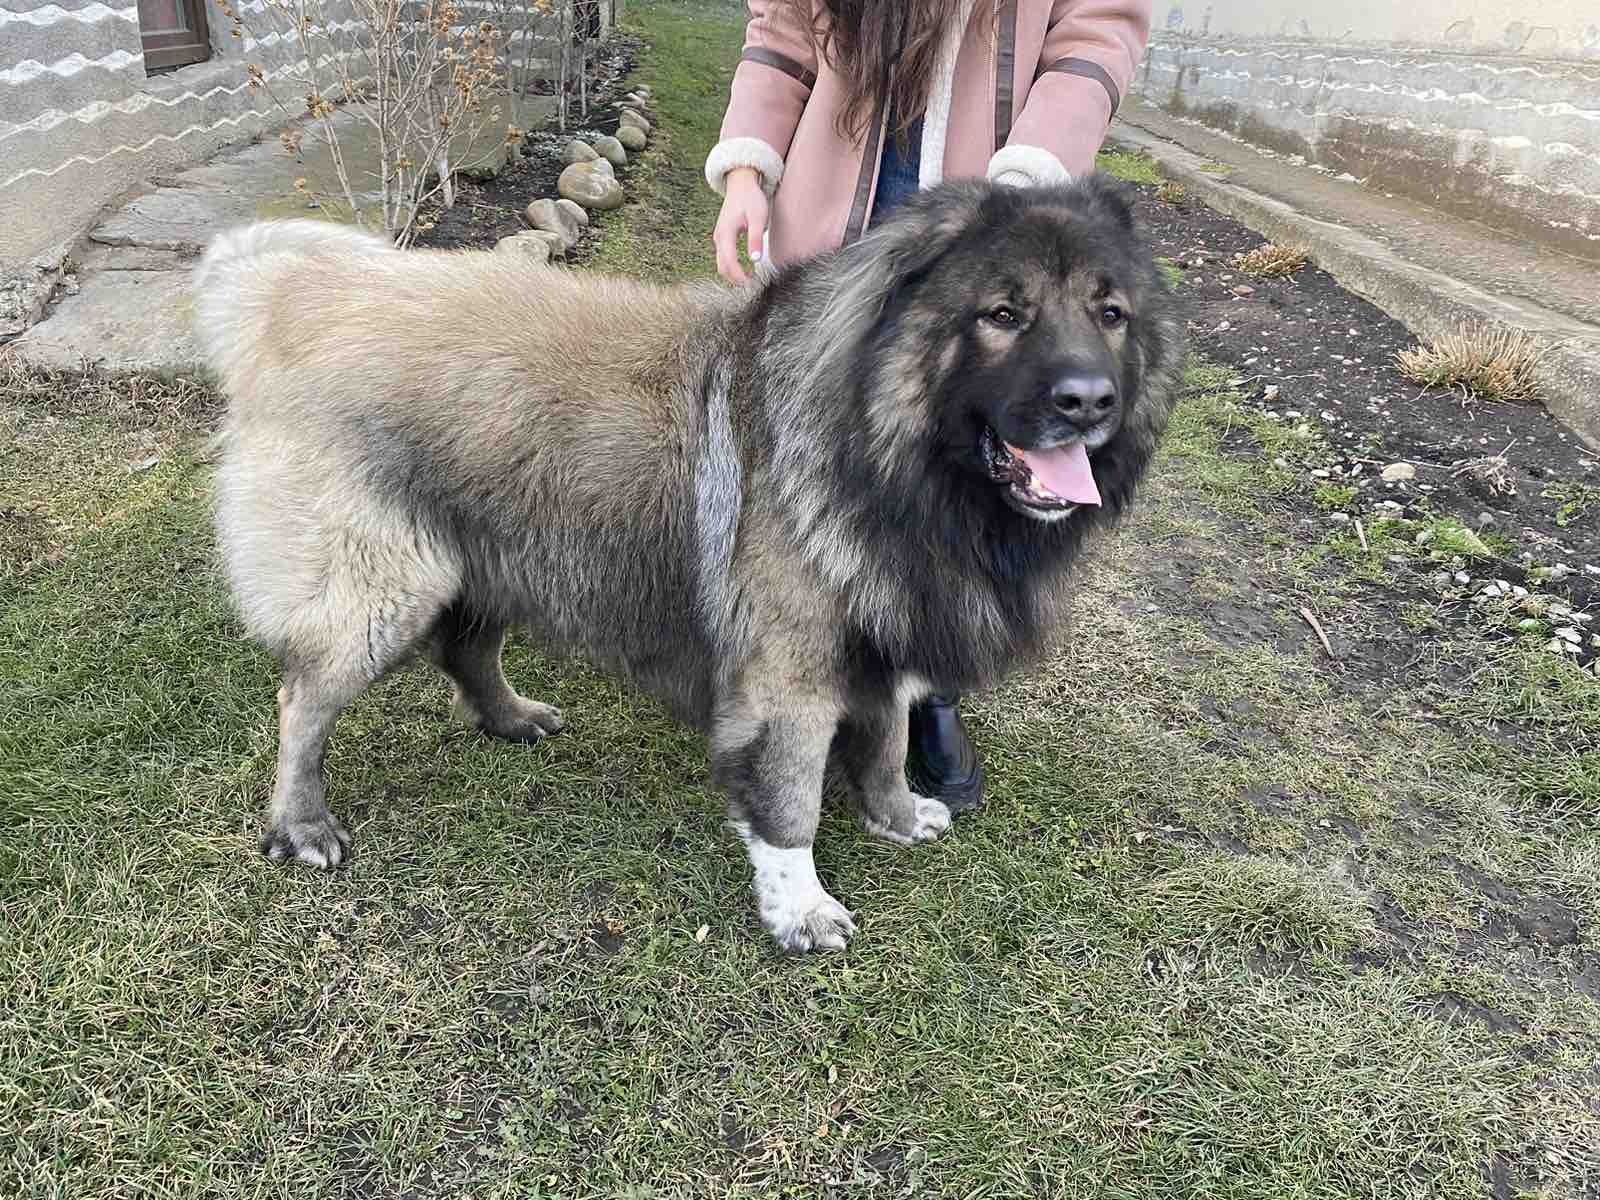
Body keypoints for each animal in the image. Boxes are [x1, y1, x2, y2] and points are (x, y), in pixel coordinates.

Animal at [193, 178, 1184, 953]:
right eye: (1003, 315)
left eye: (1110, 314)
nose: (1089, 401)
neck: (881, 452)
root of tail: (296, 296)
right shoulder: (788, 680)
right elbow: (789, 803)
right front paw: (800, 908)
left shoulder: (882, 626)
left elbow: (887, 742)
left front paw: (898, 814)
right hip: (383, 589)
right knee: (303, 701)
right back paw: (302, 823)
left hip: (499, 546)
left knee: (466, 650)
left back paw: (511, 718)